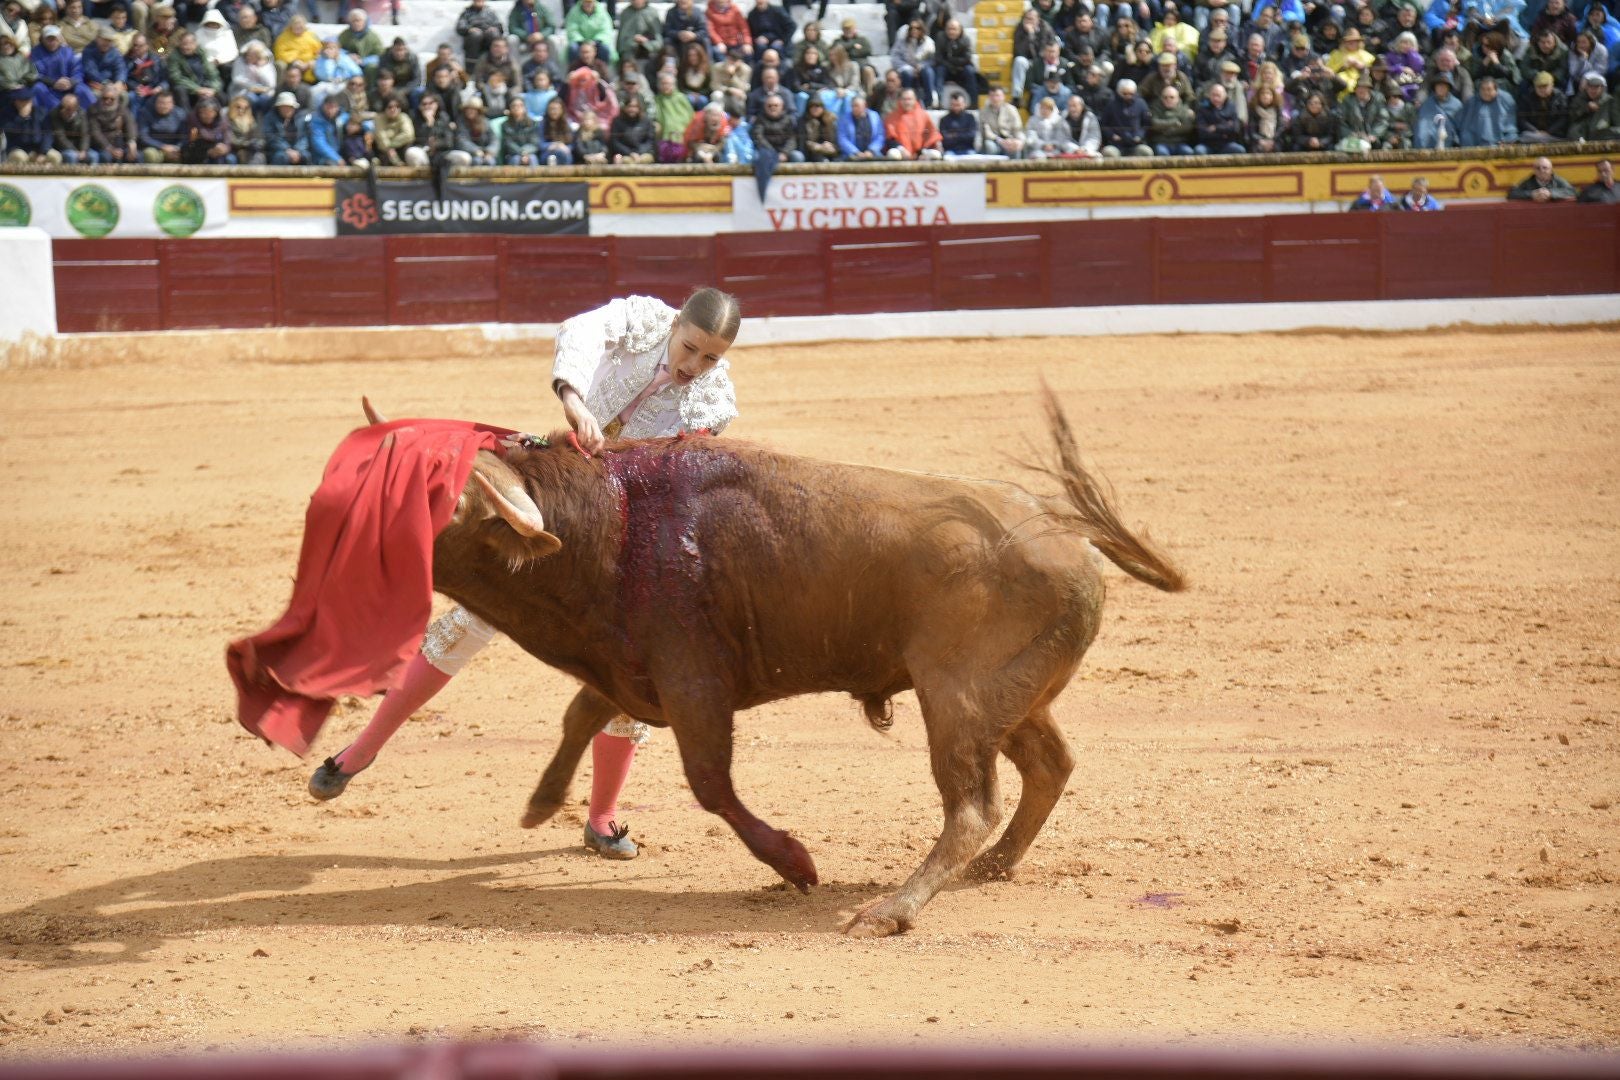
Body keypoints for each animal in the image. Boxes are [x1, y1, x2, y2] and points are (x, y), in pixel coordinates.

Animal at [411, 390, 1185, 939]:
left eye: (442, 497)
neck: (610, 521)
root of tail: (1065, 528)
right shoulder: (632, 667)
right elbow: (582, 714)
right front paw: (542, 803)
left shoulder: (693, 680)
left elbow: (709, 783)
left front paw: (796, 863)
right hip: (1012, 696)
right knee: (1049, 765)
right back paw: (996, 865)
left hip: (956, 699)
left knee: (972, 805)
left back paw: (892, 910)